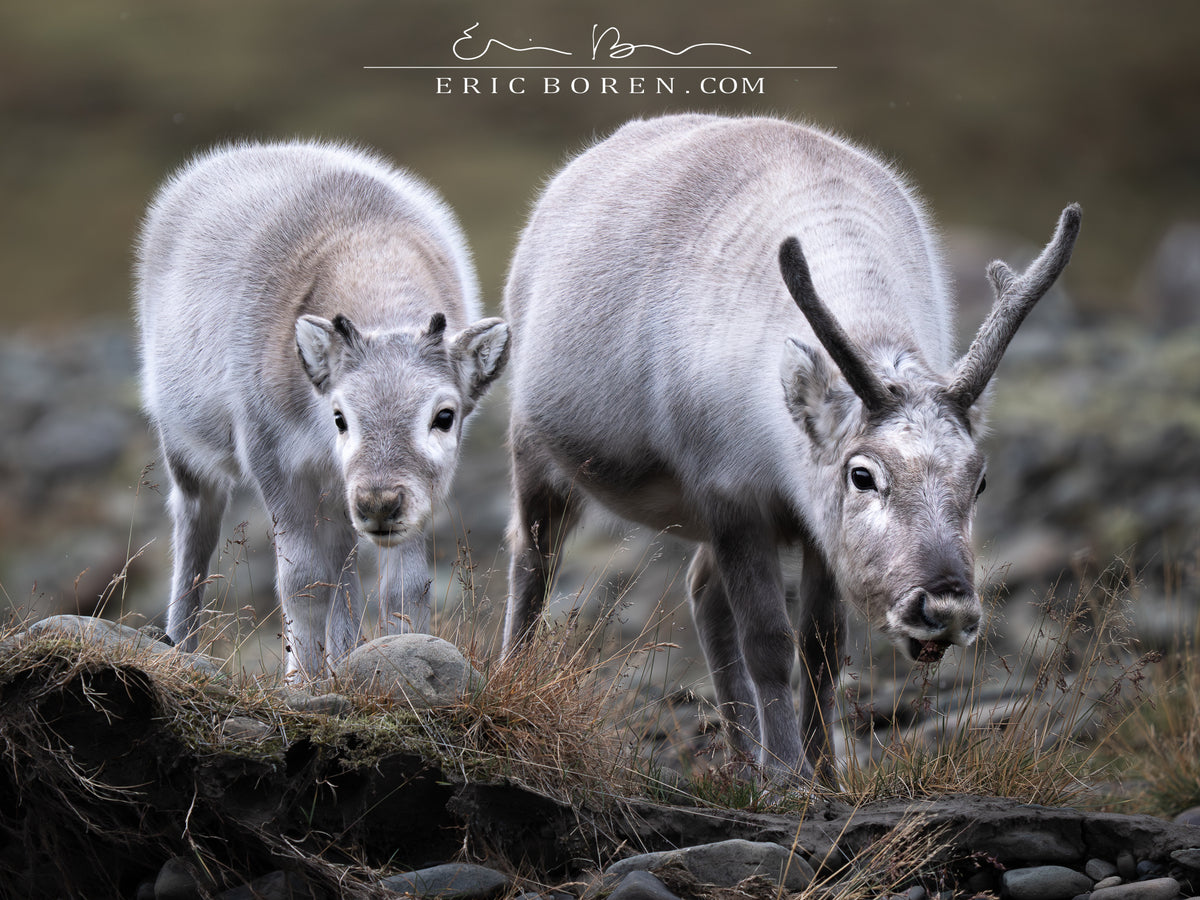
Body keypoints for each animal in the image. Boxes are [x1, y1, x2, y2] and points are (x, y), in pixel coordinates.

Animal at [135, 140, 510, 679]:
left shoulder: (408, 498)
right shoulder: (276, 466)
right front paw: (304, 682)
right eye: (340, 417)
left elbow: (405, 587)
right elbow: (303, 584)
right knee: (195, 529)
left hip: (337, 499)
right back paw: (181, 643)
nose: (379, 502)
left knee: (345, 567)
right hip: (187, 453)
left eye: (445, 416)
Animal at [500, 113, 1080, 781]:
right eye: (862, 474)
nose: (947, 606)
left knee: (702, 592)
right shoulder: (732, 496)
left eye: (979, 479)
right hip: (537, 449)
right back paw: (513, 677)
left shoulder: (813, 522)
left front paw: (823, 774)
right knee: (534, 560)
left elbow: (823, 646)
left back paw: (742, 758)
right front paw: (785, 777)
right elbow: (770, 642)